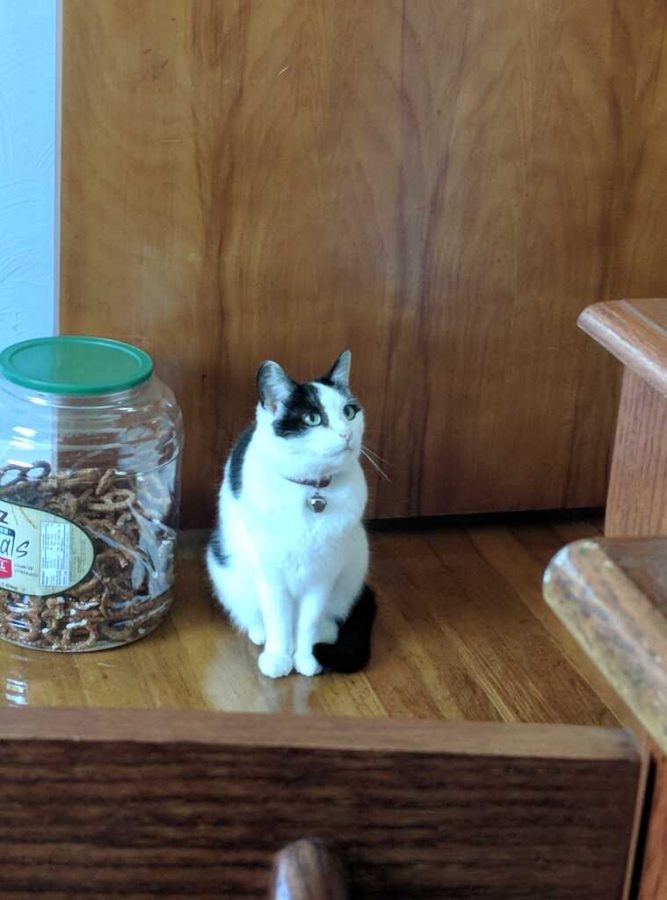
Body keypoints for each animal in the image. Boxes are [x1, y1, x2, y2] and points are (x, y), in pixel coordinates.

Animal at [207, 350, 376, 676]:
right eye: (313, 418)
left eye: (349, 412)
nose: (346, 433)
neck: (312, 492)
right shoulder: (270, 574)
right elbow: (278, 620)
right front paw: (278, 657)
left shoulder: (322, 574)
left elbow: (308, 621)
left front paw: (307, 658)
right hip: (225, 566)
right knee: (255, 614)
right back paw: (260, 633)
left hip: (356, 558)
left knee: (332, 615)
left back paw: (324, 634)